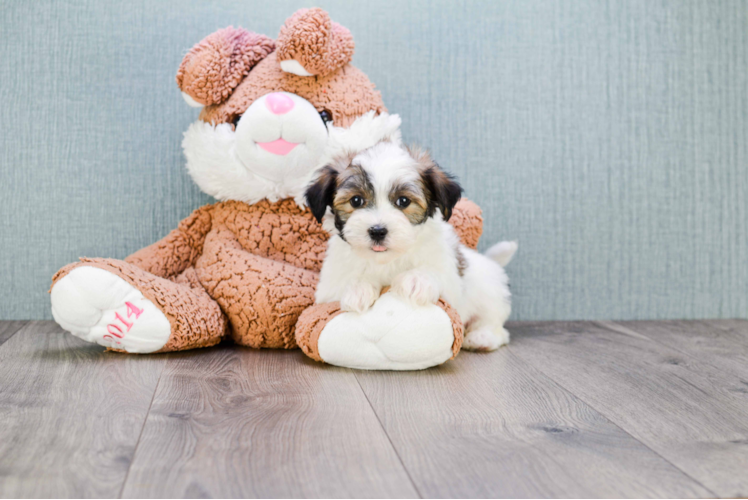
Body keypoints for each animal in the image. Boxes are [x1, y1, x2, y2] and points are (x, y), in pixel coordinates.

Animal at [304, 141, 516, 352]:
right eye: (356, 200)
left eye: (403, 201)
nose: (378, 231)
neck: (386, 260)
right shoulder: (327, 288)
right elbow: (345, 282)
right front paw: (358, 289)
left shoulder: (450, 282)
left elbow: (435, 274)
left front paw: (416, 280)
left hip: (490, 295)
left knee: (496, 325)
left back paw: (482, 337)